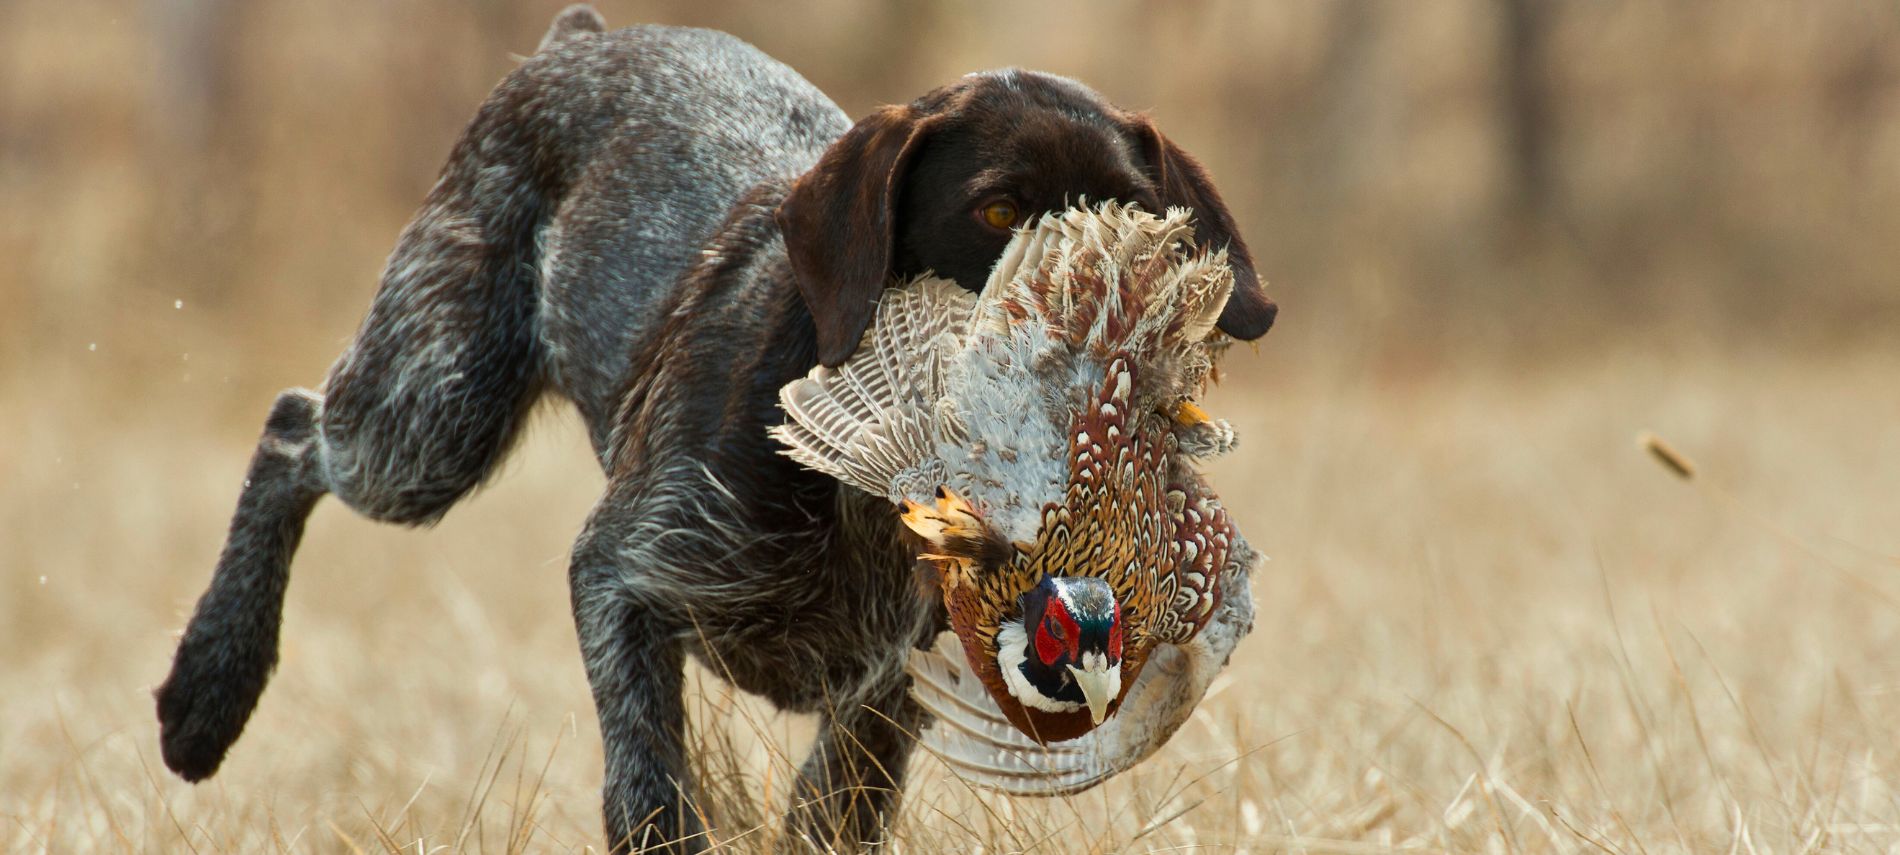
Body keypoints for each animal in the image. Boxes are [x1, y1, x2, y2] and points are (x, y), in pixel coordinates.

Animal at [159, 5, 1276, 847]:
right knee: (294, 431)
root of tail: (579, 39)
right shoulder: (623, 577)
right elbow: (650, 787)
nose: (1111, 326)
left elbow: (835, 810)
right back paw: (207, 692)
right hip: (433, 414)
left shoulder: (897, 681)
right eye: (997, 212)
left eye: (1141, 217)